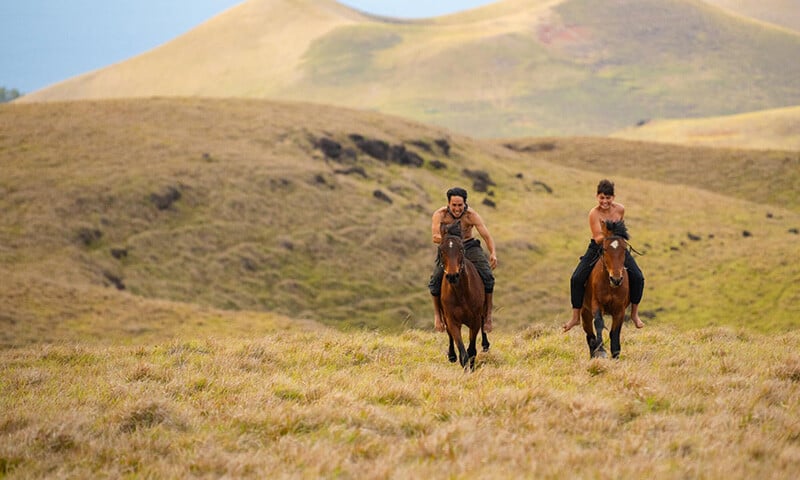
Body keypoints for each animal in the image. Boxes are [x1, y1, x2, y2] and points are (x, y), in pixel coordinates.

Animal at [438, 221, 488, 372]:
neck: (460, 294)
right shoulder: (452, 321)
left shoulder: (475, 320)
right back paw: (451, 355)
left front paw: (471, 368)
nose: (452, 276)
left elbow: (471, 350)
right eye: (441, 250)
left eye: (461, 249)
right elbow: (462, 351)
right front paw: (465, 366)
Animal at [580, 219, 632, 358]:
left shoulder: (619, 310)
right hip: (585, 312)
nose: (616, 279)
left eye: (624, 249)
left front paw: (615, 356)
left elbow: (615, 334)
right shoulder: (596, 304)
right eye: (604, 249)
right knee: (590, 335)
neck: (610, 286)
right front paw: (601, 350)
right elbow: (598, 323)